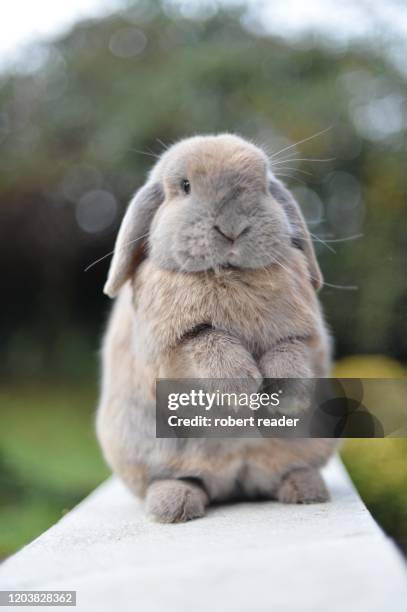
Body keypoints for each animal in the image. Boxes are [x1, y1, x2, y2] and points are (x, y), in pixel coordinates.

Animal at [96, 133, 338, 520]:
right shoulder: (169, 350)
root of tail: (234, 480)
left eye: (263, 184)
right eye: (185, 186)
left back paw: (306, 489)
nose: (233, 228)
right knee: (182, 479)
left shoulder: (306, 337)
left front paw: (282, 400)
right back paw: (174, 505)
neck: (229, 273)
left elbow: (290, 352)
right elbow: (206, 342)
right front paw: (243, 389)